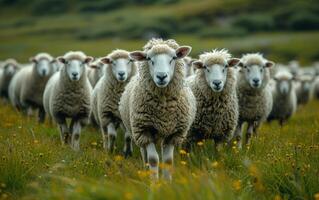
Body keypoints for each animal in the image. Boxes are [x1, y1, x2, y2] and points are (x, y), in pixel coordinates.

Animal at [119, 38, 196, 179]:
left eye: (173, 58)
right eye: (149, 59)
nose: (161, 76)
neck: (163, 110)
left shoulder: (174, 134)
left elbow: (168, 161)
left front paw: (166, 182)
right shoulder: (145, 130)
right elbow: (153, 159)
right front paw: (154, 181)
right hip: (138, 133)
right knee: (144, 154)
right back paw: (146, 170)